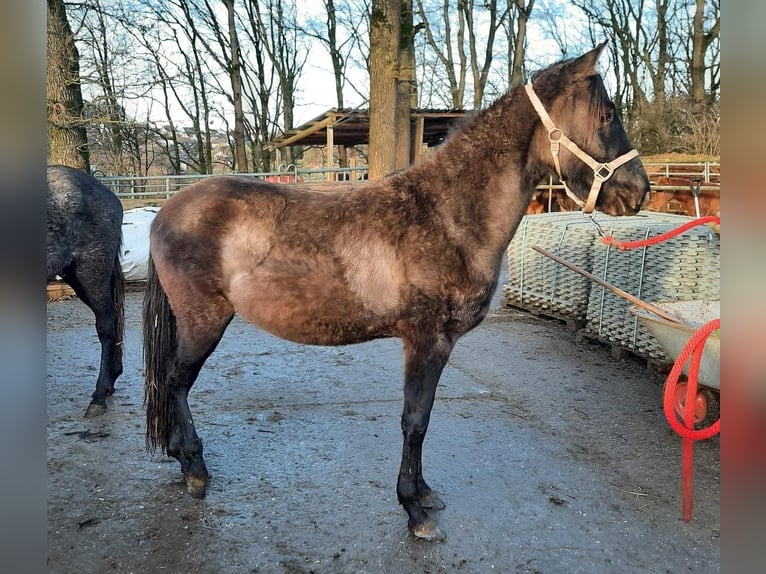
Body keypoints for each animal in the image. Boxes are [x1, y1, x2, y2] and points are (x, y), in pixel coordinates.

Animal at [142, 44, 648, 540]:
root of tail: (165, 211)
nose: (638, 192)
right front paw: (415, 511)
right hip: (204, 321)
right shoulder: (428, 341)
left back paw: (180, 457)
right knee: (175, 381)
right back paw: (195, 469)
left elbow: (421, 419)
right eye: (607, 115)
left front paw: (423, 493)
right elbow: (415, 420)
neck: (446, 216)